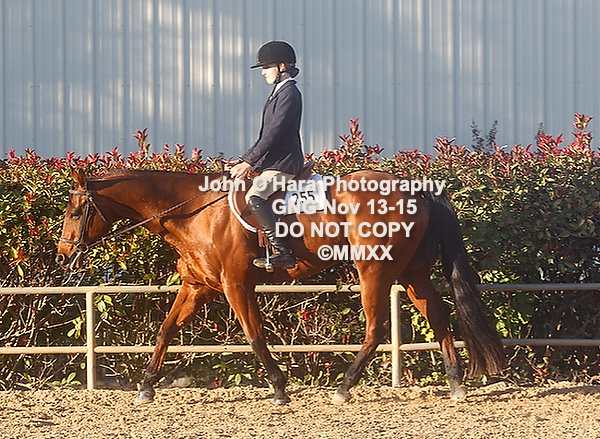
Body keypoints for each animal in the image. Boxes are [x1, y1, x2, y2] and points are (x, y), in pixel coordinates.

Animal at [56, 167, 506, 405]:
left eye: (76, 211)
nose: (61, 256)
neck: (195, 212)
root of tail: (417, 189)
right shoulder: (197, 286)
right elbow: (165, 331)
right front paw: (146, 387)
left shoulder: (237, 286)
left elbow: (255, 336)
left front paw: (278, 387)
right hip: (411, 273)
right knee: (438, 315)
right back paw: (456, 383)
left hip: (374, 271)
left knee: (376, 328)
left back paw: (344, 388)